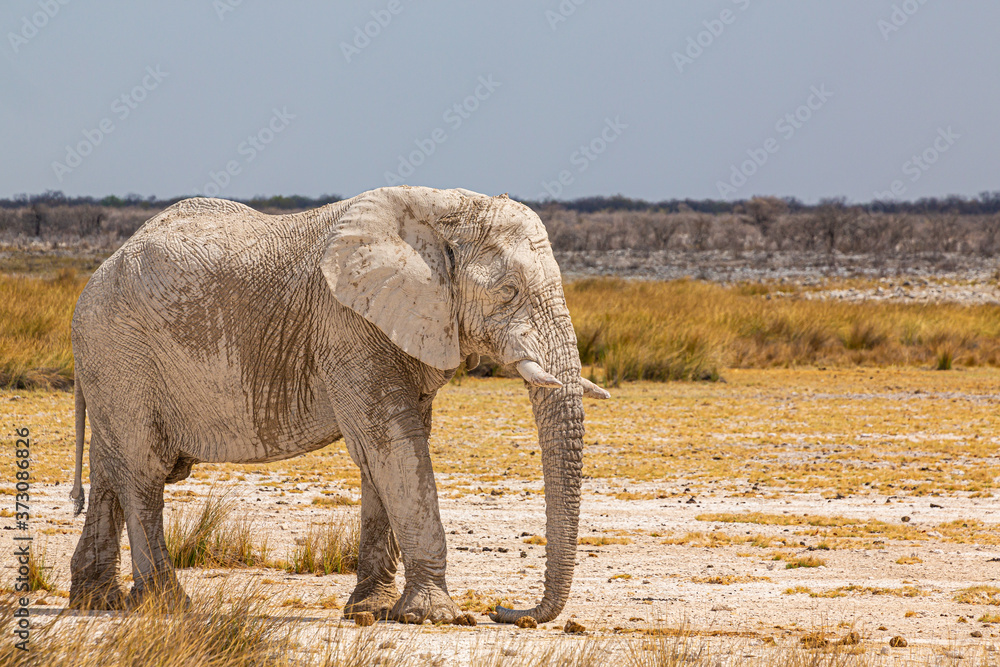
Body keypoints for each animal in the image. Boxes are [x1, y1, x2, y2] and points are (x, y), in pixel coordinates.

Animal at [67, 185, 609, 624]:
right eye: (508, 291)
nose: (505, 611)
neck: (443, 211)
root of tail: (93, 277)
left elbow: (383, 457)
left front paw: (370, 610)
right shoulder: (346, 325)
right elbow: (393, 445)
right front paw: (435, 617)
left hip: (110, 366)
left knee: (112, 467)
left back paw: (97, 602)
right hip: (119, 352)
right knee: (144, 470)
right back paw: (170, 606)